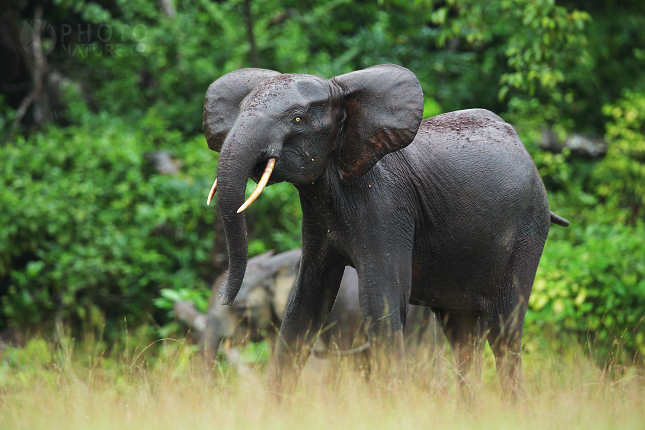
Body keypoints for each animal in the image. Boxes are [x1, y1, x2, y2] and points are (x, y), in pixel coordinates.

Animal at [201, 63, 568, 400]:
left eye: (298, 120)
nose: (224, 297)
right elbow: (304, 305)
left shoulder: (386, 205)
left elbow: (381, 302)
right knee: (462, 333)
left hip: (527, 230)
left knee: (505, 330)